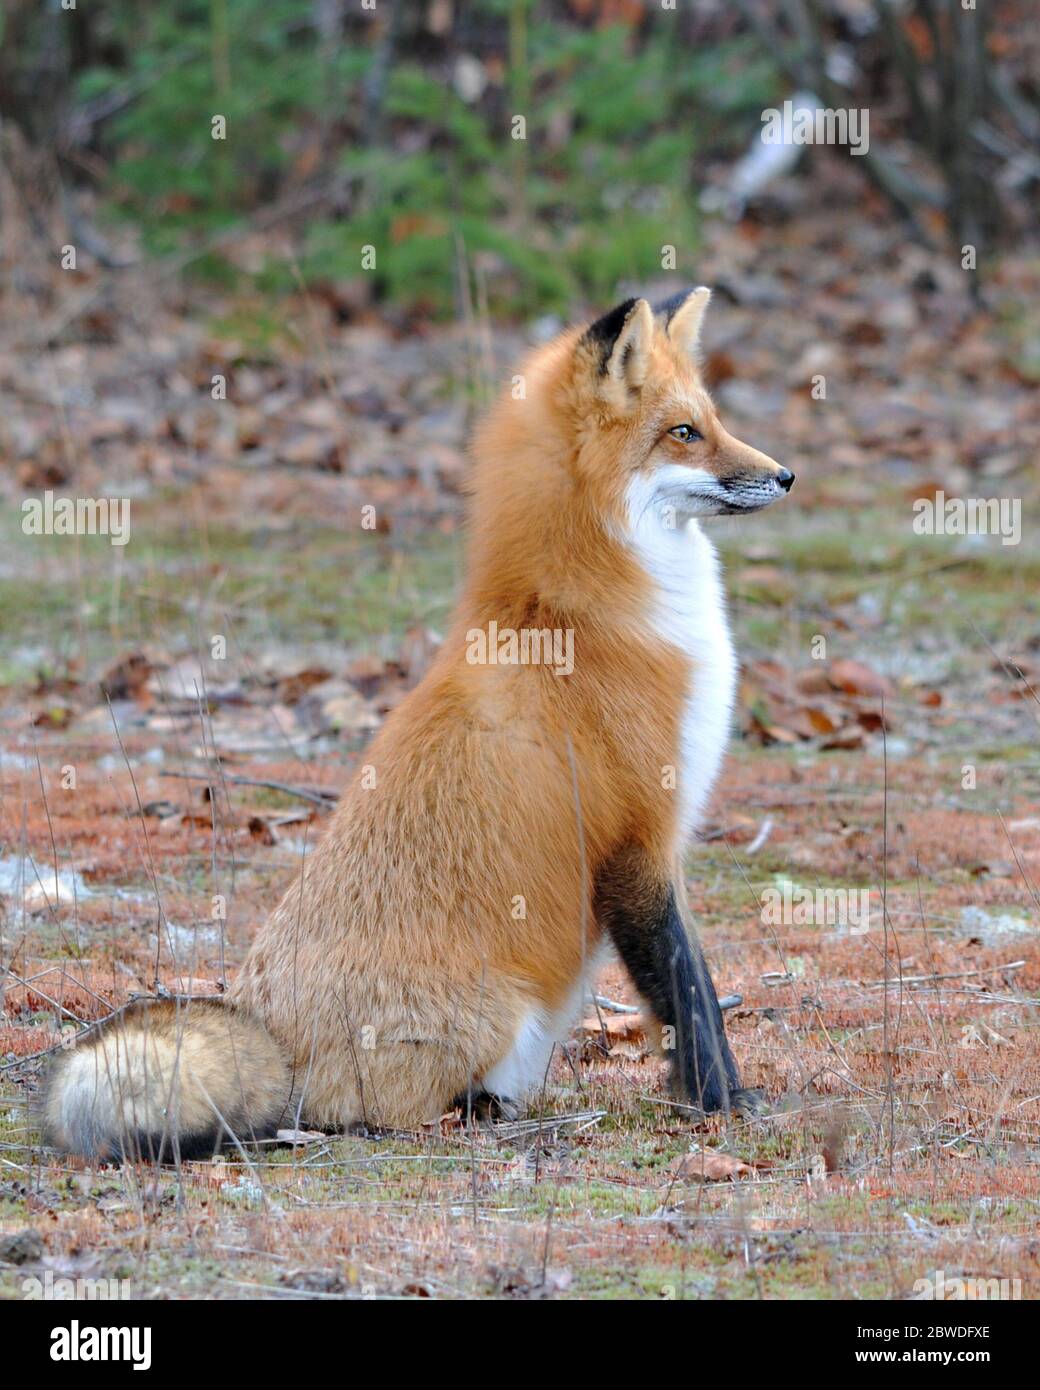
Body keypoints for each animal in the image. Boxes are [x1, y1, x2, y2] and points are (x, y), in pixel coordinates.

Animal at [44, 290, 789, 1162]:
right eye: (684, 432)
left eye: (712, 421)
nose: (784, 474)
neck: (568, 614)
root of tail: (276, 1042)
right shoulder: (638, 839)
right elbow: (686, 991)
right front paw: (721, 1102)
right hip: (494, 1015)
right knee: (378, 1113)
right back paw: (475, 1111)